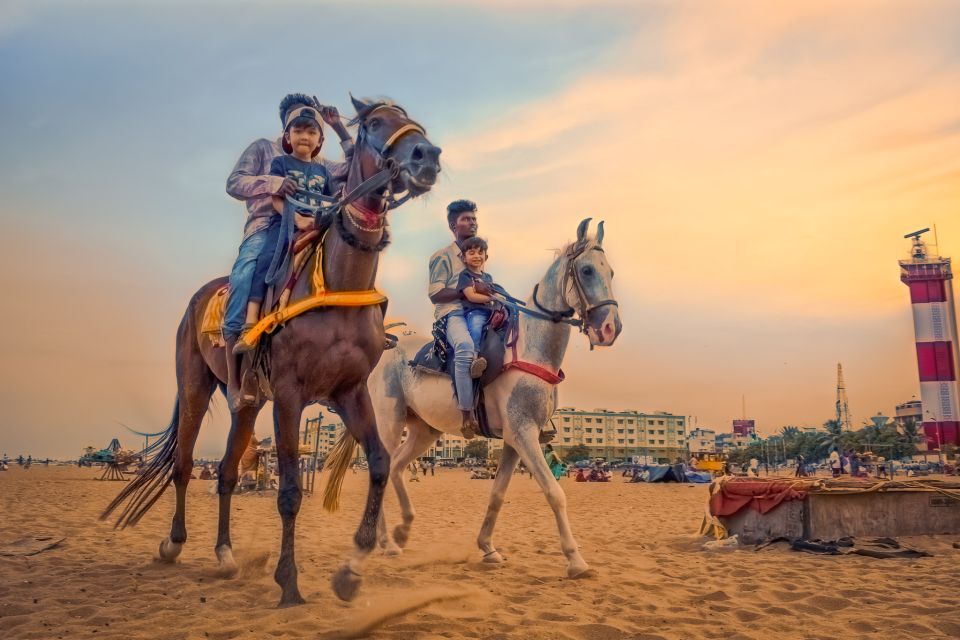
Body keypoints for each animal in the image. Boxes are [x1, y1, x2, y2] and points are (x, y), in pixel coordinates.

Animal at [102, 95, 442, 604]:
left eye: (412, 120)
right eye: (377, 122)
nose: (427, 156)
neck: (336, 283)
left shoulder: (349, 391)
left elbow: (380, 464)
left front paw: (351, 571)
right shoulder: (288, 394)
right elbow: (290, 491)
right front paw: (289, 581)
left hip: (246, 401)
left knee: (225, 470)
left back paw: (225, 554)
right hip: (196, 387)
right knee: (184, 465)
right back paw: (173, 544)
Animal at [322, 218, 624, 576]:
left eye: (611, 272)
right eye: (588, 270)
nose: (610, 329)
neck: (530, 349)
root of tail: (383, 352)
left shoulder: (514, 439)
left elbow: (497, 494)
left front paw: (487, 548)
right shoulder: (524, 434)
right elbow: (555, 492)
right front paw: (575, 560)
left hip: (424, 431)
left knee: (396, 468)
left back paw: (400, 532)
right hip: (389, 424)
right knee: (381, 469)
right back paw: (385, 542)